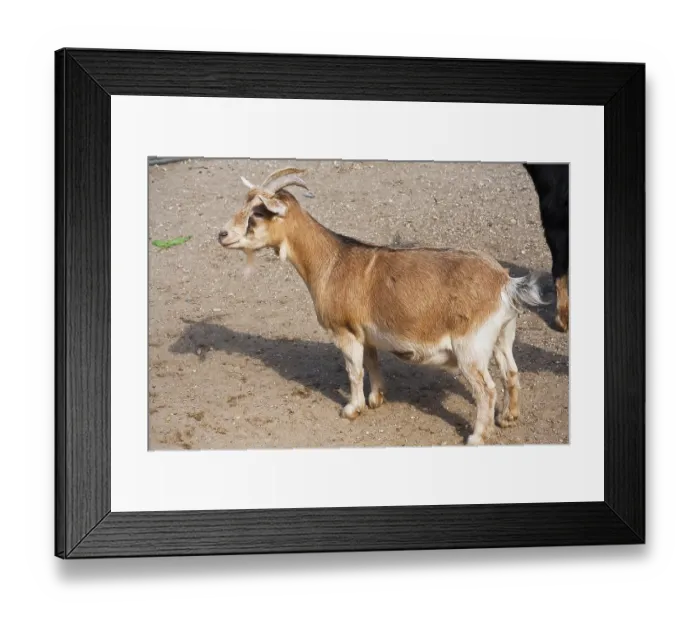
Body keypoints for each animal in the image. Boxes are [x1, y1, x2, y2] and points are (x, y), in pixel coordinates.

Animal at [218, 168, 546, 445]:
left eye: (258, 212)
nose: (222, 234)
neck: (331, 262)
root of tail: (504, 282)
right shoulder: (366, 333)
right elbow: (372, 363)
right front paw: (376, 399)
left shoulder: (344, 332)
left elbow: (354, 371)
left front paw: (352, 408)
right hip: (503, 335)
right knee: (511, 372)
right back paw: (508, 417)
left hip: (471, 348)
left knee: (486, 390)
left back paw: (477, 436)